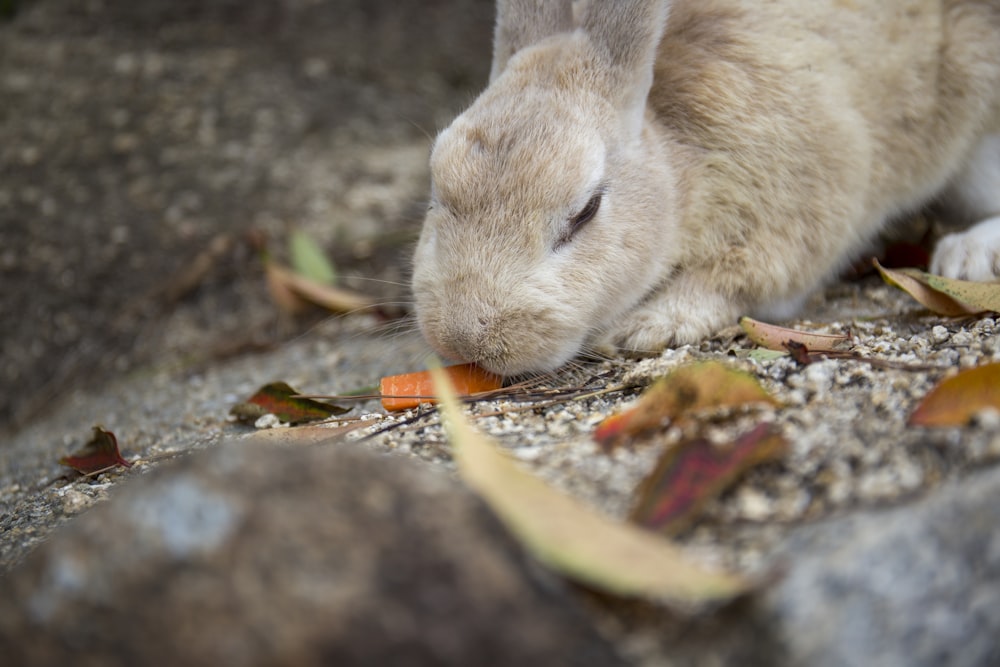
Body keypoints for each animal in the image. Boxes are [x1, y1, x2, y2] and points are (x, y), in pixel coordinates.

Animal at [408, 0, 1000, 376]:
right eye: (438, 189)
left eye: (585, 211)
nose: (464, 340)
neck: (678, 173)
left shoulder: (793, 219)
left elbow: (735, 280)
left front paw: (650, 327)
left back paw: (966, 257)